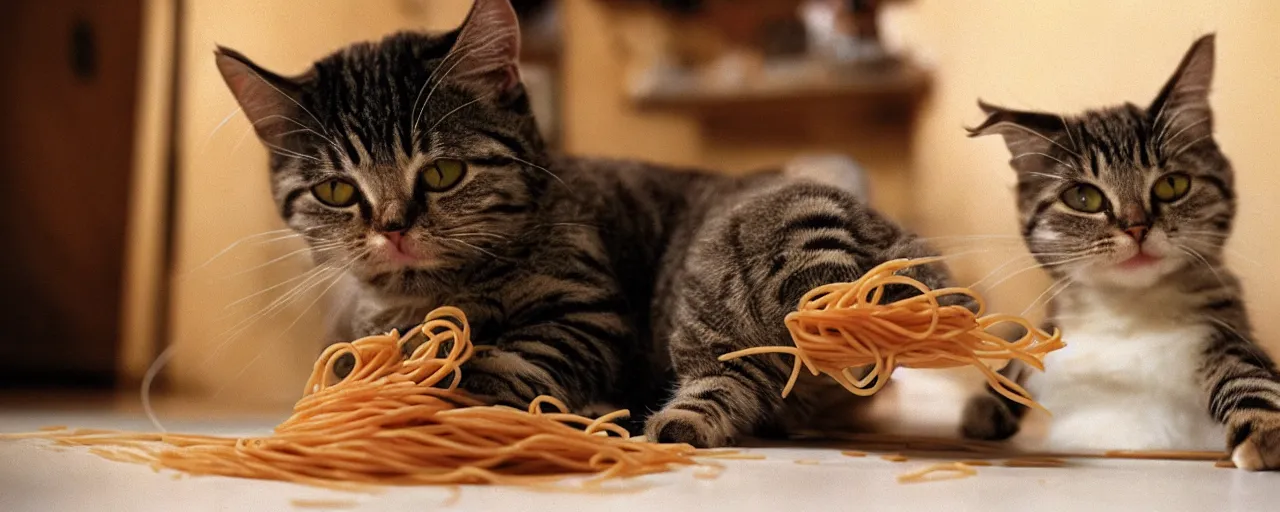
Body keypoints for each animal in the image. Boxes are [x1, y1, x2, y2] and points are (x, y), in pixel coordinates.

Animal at [217, 0, 962, 448]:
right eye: (337, 190)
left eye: (443, 173)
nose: (394, 228)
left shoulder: (586, 311)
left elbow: (506, 359)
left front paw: (439, 405)